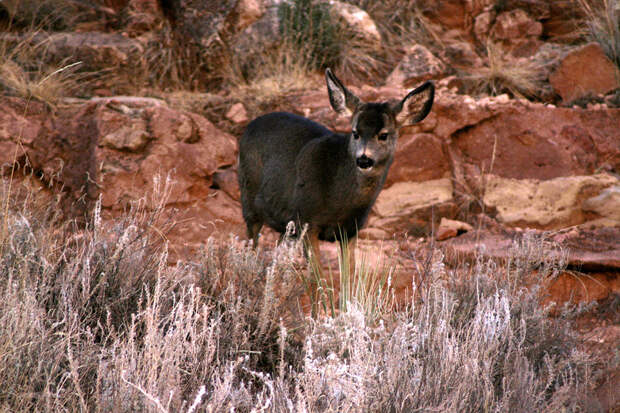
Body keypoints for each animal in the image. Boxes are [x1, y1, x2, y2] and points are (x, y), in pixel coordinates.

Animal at [239, 67, 436, 272]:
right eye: (355, 133)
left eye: (383, 135)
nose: (363, 159)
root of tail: (251, 126)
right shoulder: (307, 220)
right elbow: (316, 276)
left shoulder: (350, 230)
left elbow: (349, 273)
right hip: (249, 200)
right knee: (252, 243)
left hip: (285, 224)